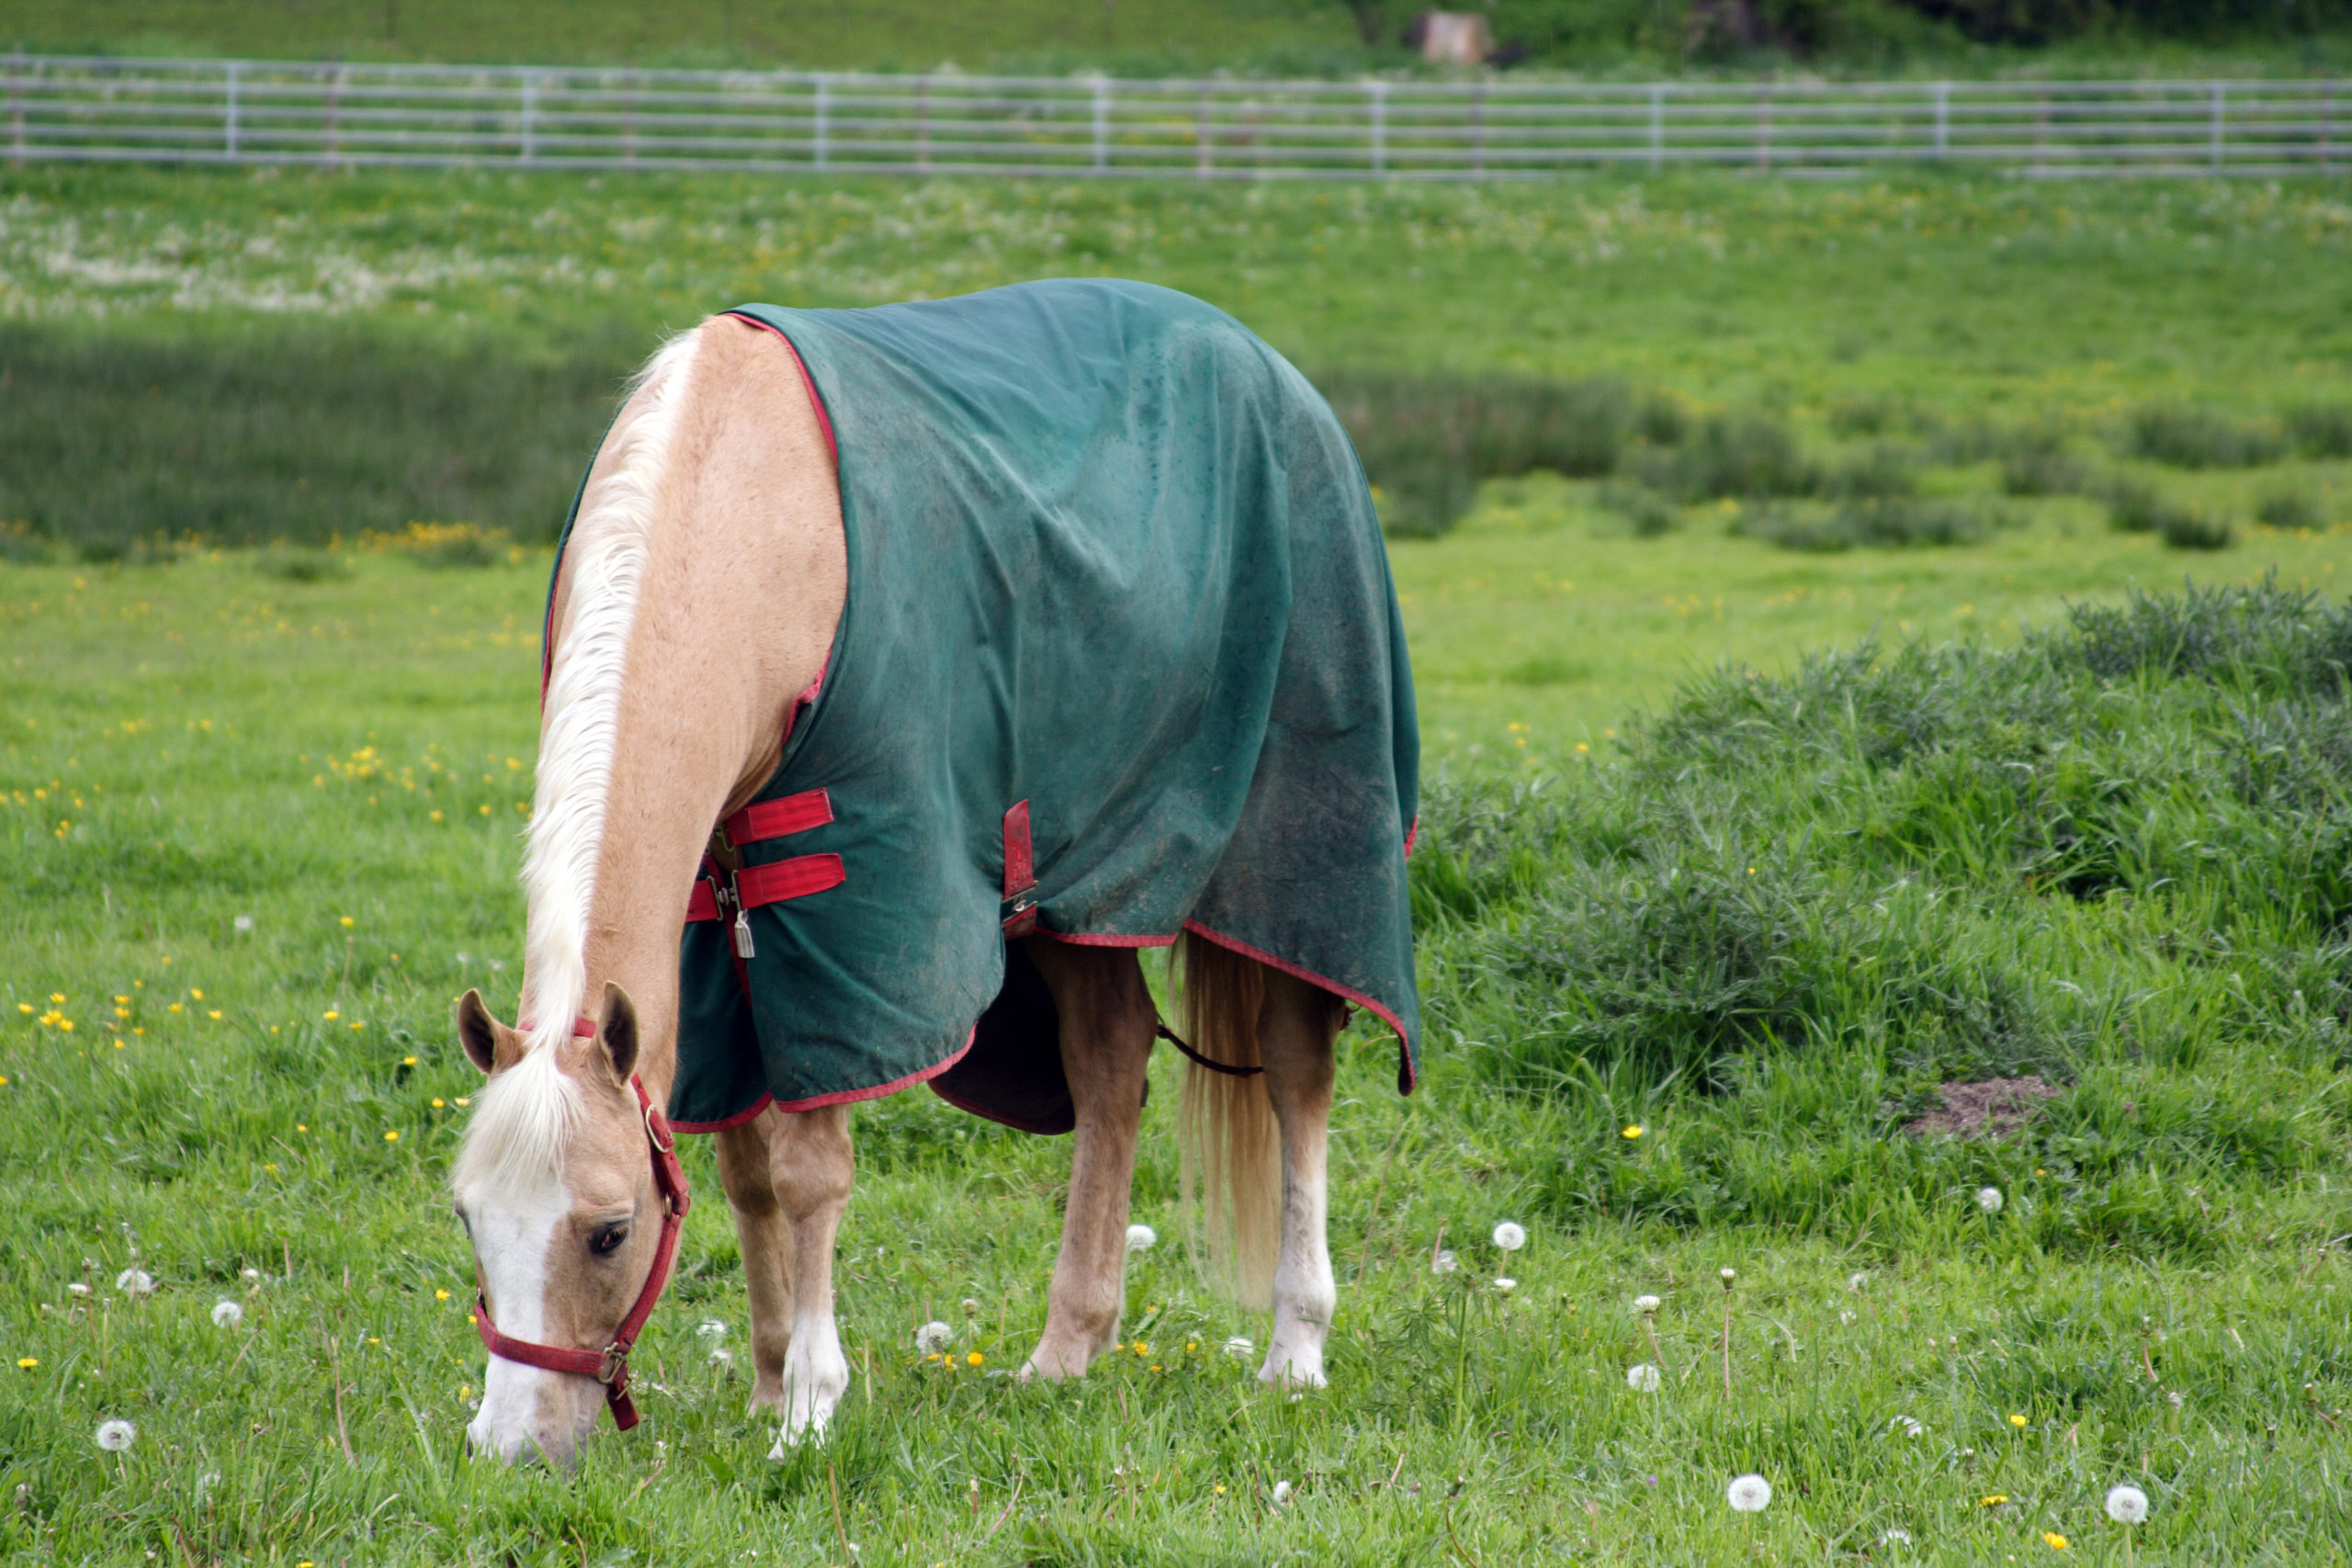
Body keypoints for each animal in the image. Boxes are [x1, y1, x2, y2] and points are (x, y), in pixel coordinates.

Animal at [451, 282, 1420, 1476]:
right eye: (468, 1219)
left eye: (607, 1233)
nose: (511, 1445)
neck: (749, 519)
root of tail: (1273, 370)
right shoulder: (715, 917)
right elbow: (743, 1165)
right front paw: (767, 1383)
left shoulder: (849, 902)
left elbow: (812, 1169)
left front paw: (810, 1406)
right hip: (1073, 895)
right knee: (1110, 1060)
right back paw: (1068, 1347)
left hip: (1287, 856)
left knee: (1293, 1066)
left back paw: (1294, 1344)